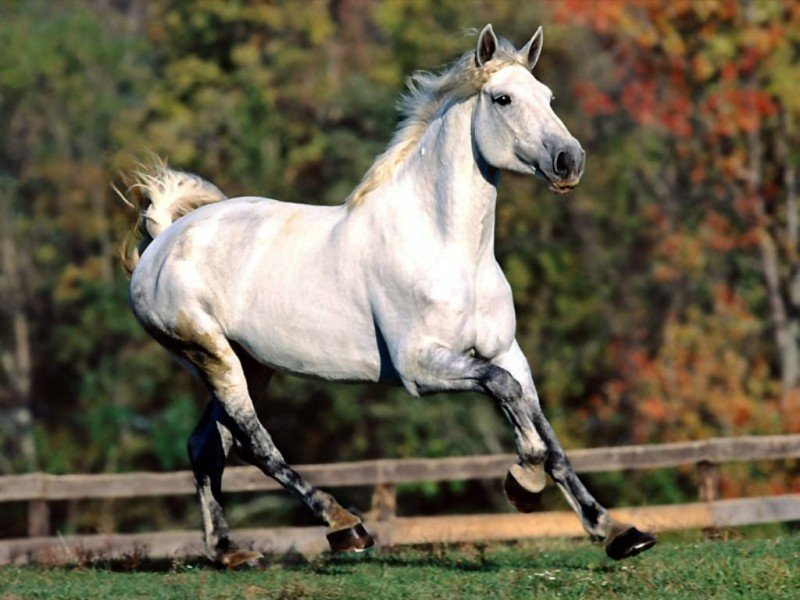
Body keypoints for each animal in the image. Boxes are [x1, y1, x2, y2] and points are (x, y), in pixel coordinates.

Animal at [122, 25, 652, 564]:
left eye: (548, 97)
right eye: (502, 99)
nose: (569, 161)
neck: (449, 248)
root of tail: (163, 240)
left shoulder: (507, 351)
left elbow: (545, 429)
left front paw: (616, 531)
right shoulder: (420, 367)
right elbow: (506, 394)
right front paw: (523, 479)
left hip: (251, 363)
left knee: (206, 445)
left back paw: (230, 552)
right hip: (211, 355)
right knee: (254, 443)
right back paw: (344, 525)